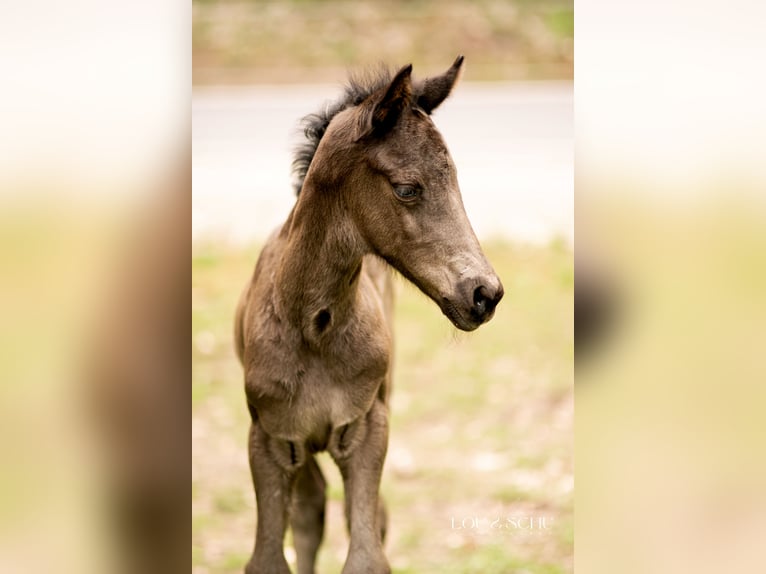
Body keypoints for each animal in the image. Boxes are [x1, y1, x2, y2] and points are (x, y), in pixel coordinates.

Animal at [234, 56, 504, 574]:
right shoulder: (270, 437)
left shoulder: (367, 428)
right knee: (311, 506)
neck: (314, 327)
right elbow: (269, 557)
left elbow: (366, 553)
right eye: (407, 188)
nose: (486, 293)